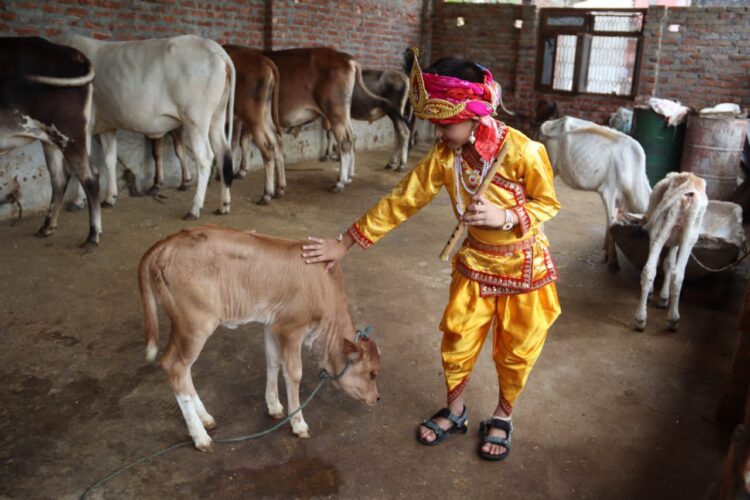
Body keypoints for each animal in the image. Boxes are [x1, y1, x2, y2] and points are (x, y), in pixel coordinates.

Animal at [63, 35, 236, 219]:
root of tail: (215, 48)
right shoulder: (107, 125)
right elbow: (110, 160)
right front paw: (110, 198)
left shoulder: (84, 126)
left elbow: (83, 165)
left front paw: (78, 202)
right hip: (217, 117)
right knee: (223, 153)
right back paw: (223, 205)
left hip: (196, 120)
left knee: (205, 158)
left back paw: (195, 209)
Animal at [140, 225, 382, 452]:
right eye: (372, 374)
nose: (378, 398)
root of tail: (167, 242)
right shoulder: (291, 328)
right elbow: (294, 373)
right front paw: (298, 424)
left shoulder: (272, 324)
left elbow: (273, 361)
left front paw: (274, 406)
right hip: (195, 323)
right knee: (174, 366)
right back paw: (200, 436)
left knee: (184, 368)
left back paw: (206, 418)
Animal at [540, 115, 652, 272]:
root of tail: (551, 123)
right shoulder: (608, 191)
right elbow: (611, 223)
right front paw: (613, 262)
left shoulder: (618, 200)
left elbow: (610, 223)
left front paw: (606, 252)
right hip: (550, 169)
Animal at [636, 172, 712, 332]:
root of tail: (687, 180)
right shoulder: (677, 240)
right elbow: (670, 265)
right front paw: (662, 296)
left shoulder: (671, 238)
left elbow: (667, 263)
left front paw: (662, 296)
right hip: (689, 234)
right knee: (677, 273)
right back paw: (672, 319)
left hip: (662, 226)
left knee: (650, 269)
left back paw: (641, 319)